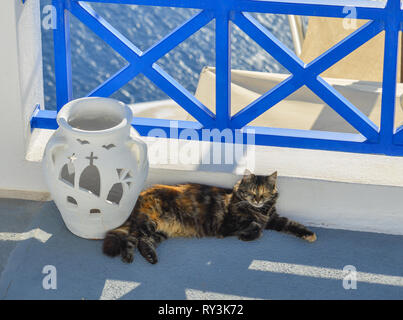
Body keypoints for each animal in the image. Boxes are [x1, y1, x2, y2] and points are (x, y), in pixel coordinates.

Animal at [102, 171, 318, 264]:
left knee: (143, 241)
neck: (260, 211)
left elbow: (292, 223)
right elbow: (256, 228)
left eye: (264, 193)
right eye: (252, 192)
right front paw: (246, 236)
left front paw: (309, 234)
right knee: (131, 238)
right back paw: (128, 257)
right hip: (148, 222)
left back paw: (150, 257)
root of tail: (141, 194)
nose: (257, 199)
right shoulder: (231, 223)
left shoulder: (274, 219)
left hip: (159, 230)